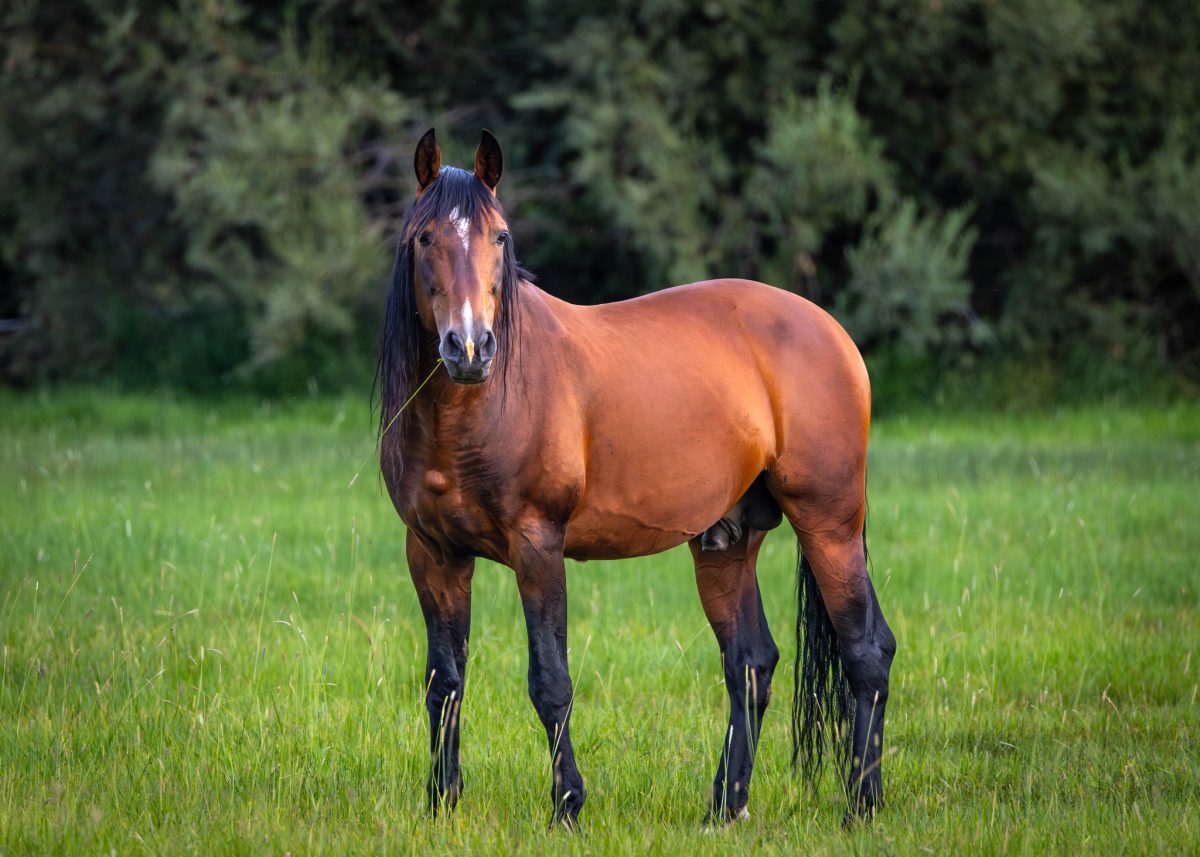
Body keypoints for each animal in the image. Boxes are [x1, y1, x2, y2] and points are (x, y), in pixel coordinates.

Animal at [377, 128, 896, 828]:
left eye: (501, 237)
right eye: (425, 238)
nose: (469, 348)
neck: (480, 408)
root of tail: (831, 331)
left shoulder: (537, 546)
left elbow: (550, 682)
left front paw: (568, 805)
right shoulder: (433, 554)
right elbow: (444, 681)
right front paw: (442, 803)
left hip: (829, 523)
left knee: (866, 651)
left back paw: (860, 806)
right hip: (726, 541)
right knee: (751, 663)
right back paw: (725, 807)